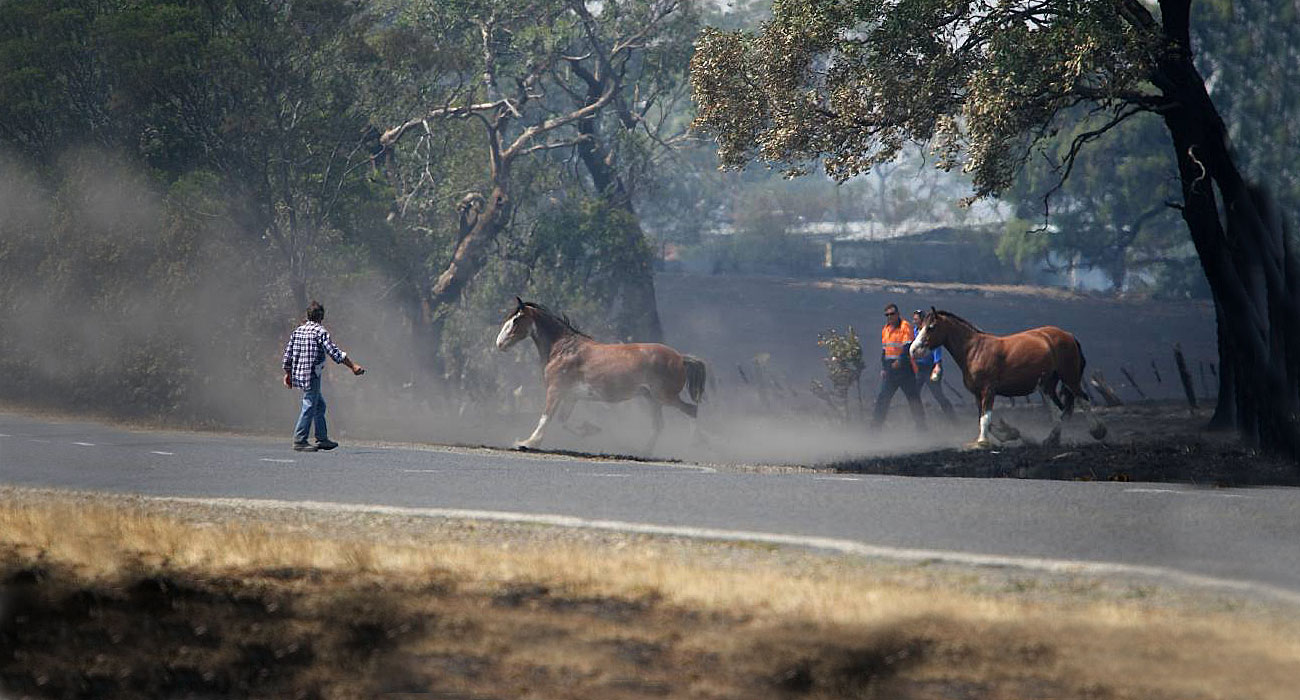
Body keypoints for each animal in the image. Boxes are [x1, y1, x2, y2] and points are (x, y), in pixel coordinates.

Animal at [493, 295, 702, 450]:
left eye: (516, 319)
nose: (500, 344)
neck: (563, 349)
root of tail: (680, 358)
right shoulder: (571, 396)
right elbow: (562, 420)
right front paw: (590, 429)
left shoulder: (555, 390)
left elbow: (546, 417)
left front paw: (527, 443)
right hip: (652, 399)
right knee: (659, 425)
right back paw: (645, 451)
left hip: (664, 397)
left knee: (692, 410)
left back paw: (693, 444)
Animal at [904, 307, 1107, 447]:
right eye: (920, 327)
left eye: (931, 327)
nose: (913, 350)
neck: (974, 350)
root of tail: (1069, 336)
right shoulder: (977, 393)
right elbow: (983, 418)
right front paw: (1010, 434)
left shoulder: (989, 390)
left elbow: (985, 418)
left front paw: (982, 442)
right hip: (1047, 384)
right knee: (1058, 409)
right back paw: (1052, 439)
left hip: (1070, 377)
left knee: (1083, 400)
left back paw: (1097, 430)